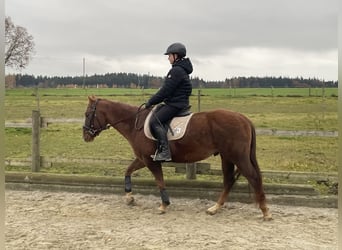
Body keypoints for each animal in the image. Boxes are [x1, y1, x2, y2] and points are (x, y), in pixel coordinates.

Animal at [83, 94, 272, 220]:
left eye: (87, 114)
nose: (85, 136)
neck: (135, 123)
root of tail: (243, 118)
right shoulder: (143, 159)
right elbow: (127, 171)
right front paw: (129, 197)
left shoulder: (151, 161)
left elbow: (159, 181)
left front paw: (163, 205)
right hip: (227, 157)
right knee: (228, 180)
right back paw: (215, 208)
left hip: (237, 156)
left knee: (253, 178)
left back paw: (265, 212)